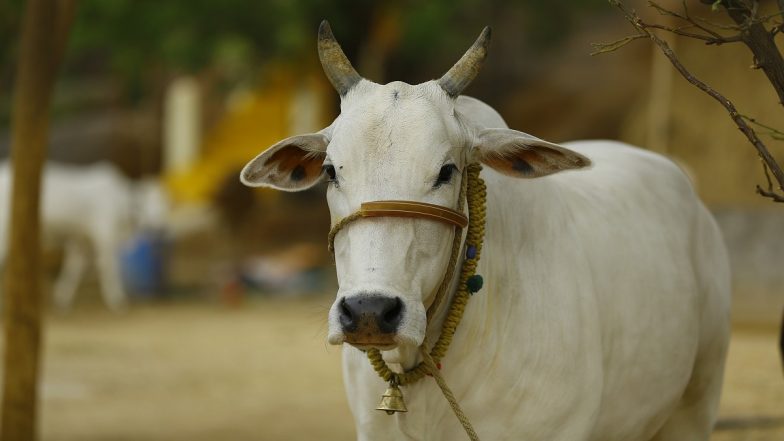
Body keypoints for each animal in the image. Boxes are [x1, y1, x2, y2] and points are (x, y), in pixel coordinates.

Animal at [0, 161, 167, 310]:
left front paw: (62, 298)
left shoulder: (81, 241)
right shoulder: (105, 238)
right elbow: (109, 268)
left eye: (165, 204)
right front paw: (117, 300)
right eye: (145, 205)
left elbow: (73, 269)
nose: (160, 227)